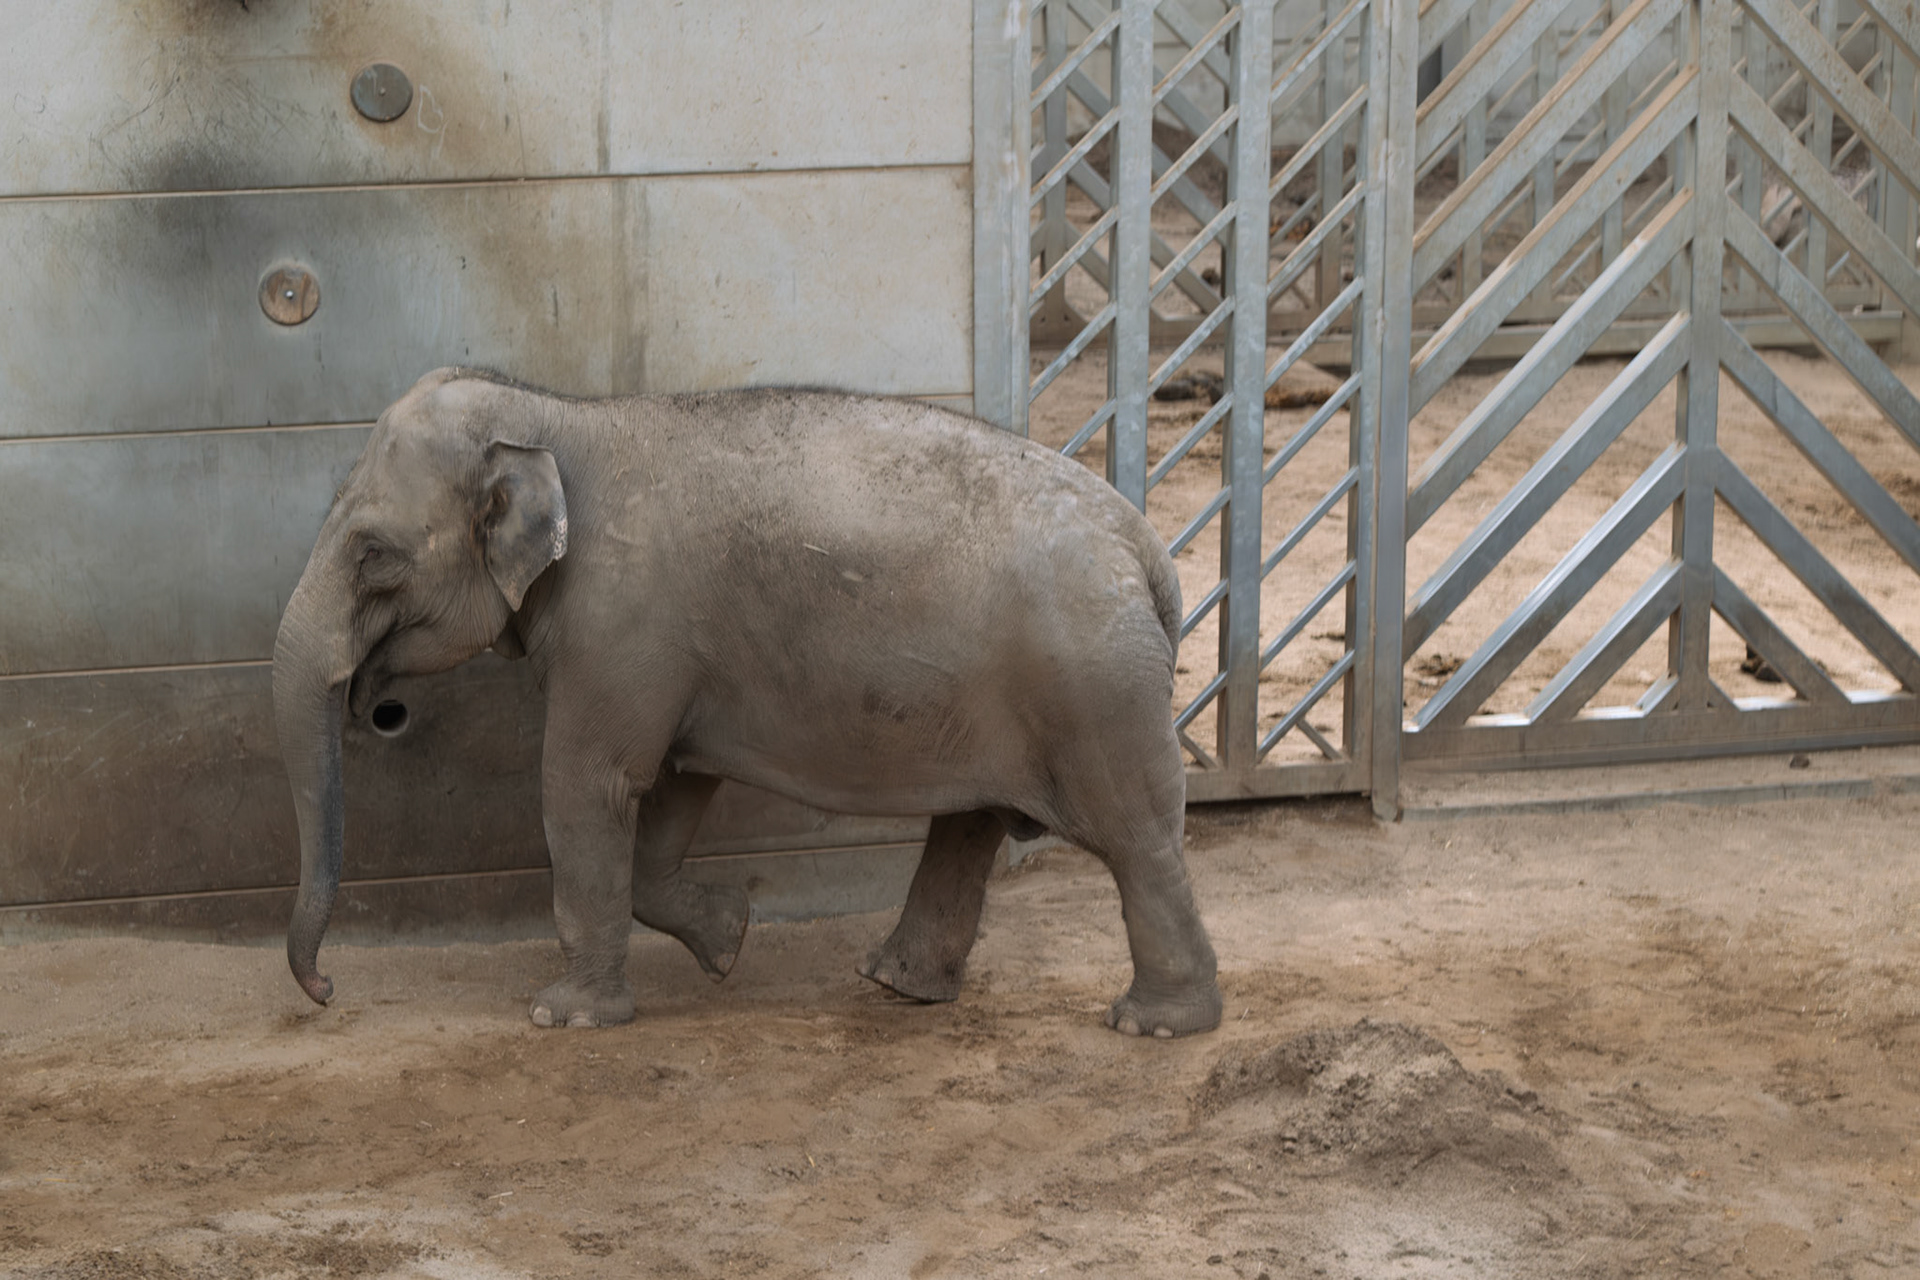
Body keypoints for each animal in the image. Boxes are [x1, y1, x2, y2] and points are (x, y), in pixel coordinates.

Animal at [273, 368, 1221, 1038]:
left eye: (372, 555)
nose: (326, 991)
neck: (565, 417)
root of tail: (1148, 549)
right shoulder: (674, 655)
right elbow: (672, 787)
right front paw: (728, 940)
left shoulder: (620, 625)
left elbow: (588, 783)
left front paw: (564, 1015)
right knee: (971, 826)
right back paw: (897, 985)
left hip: (1094, 687)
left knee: (1138, 840)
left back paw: (1154, 1025)